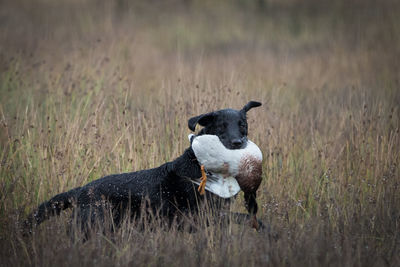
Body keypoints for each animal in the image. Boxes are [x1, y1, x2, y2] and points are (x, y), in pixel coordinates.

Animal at [25, 101, 262, 233]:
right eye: (221, 127)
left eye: (242, 125)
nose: (238, 143)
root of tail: (81, 191)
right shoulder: (198, 217)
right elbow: (242, 218)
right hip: (90, 227)